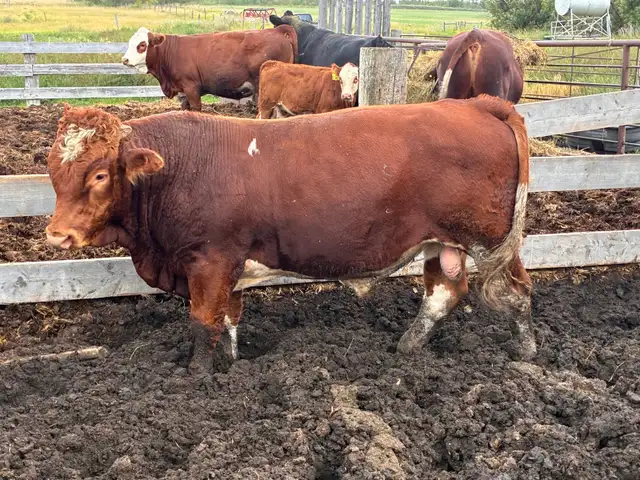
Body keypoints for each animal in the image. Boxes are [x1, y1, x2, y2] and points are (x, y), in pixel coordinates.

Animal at [44, 97, 535, 374]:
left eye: (100, 174)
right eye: (51, 168)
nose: (57, 236)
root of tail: (475, 103)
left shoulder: (210, 260)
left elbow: (202, 321)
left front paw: (197, 376)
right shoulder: (229, 268)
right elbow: (229, 319)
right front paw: (232, 364)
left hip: (491, 242)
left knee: (517, 293)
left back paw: (528, 356)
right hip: (441, 243)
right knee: (443, 294)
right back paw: (406, 348)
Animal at [121, 26, 298, 111]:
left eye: (142, 45)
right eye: (130, 42)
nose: (124, 60)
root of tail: (276, 30)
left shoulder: (191, 88)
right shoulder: (183, 93)